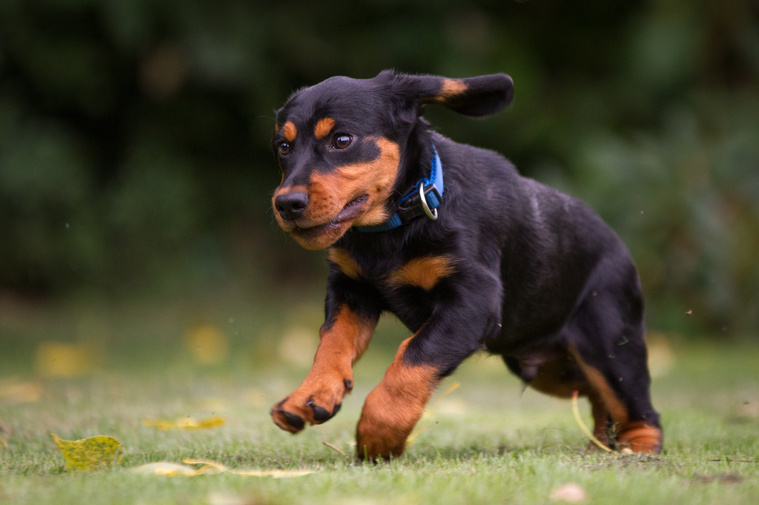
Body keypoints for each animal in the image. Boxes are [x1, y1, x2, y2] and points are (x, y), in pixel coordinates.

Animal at [270, 69, 664, 458]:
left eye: (342, 140)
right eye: (283, 147)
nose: (287, 204)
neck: (399, 221)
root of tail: (622, 249)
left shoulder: (474, 300)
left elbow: (413, 357)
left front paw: (379, 432)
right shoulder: (351, 290)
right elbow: (332, 341)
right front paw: (311, 394)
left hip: (608, 344)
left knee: (639, 406)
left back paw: (636, 450)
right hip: (550, 367)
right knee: (600, 398)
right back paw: (602, 444)